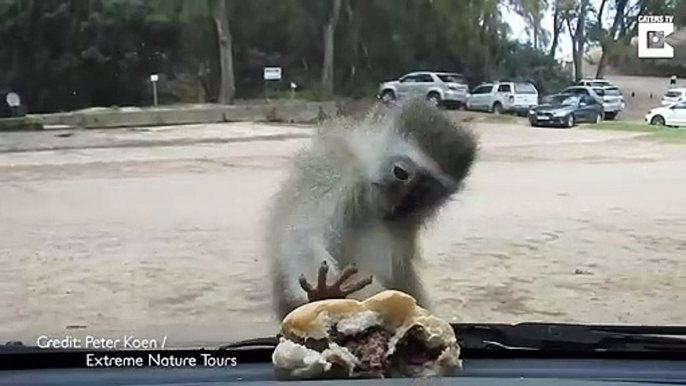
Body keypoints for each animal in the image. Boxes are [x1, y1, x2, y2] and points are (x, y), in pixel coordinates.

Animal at [268, 99, 478, 320]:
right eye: (400, 172)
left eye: (425, 192)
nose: (398, 205)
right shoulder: (336, 168)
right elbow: (302, 234)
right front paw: (326, 294)